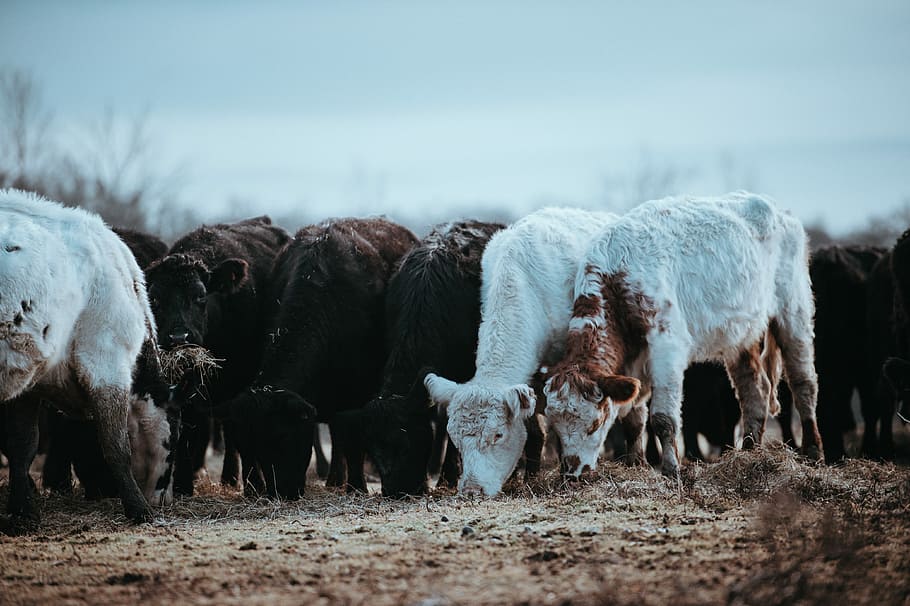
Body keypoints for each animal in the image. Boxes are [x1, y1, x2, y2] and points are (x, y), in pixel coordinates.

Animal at [0, 189, 157, 533]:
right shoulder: (107, 360)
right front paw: (139, 508)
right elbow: (116, 445)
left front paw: (22, 511)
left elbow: (22, 445)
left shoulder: (26, 378)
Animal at [144, 216, 291, 496]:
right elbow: (188, 432)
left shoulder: (242, 379)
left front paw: (254, 484)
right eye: (155, 299)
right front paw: (183, 485)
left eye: (200, 295)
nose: (179, 338)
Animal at [220, 217, 418, 498]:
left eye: (282, 437)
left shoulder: (356, 394)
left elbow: (351, 438)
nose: (282, 491)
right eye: (254, 448)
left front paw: (356, 486)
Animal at [541, 192, 821, 480]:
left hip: (794, 310)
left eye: (595, 423)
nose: (572, 474)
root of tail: (778, 209)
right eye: (554, 426)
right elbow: (634, 418)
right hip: (742, 335)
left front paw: (671, 471)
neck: (618, 280)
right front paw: (636, 463)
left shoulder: (667, 348)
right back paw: (750, 452)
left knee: (803, 383)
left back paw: (813, 451)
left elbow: (663, 418)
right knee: (755, 390)